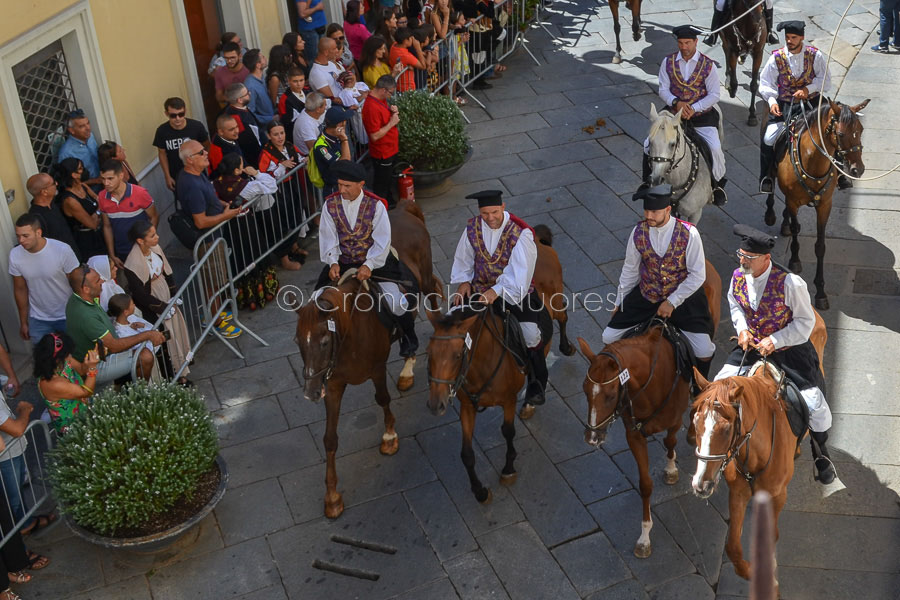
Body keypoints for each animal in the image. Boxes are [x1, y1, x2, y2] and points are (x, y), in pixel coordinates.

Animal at [294, 199, 438, 516]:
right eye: (298, 341)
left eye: (324, 341)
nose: (310, 392)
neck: (349, 334)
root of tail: (403, 209)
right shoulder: (333, 384)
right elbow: (330, 438)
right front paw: (332, 496)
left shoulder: (376, 368)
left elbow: (382, 399)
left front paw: (389, 438)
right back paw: (408, 369)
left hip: (423, 277)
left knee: (432, 298)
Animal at [426, 224, 568, 502]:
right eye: (429, 353)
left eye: (457, 355)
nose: (436, 405)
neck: (478, 368)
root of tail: (537, 240)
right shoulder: (467, 406)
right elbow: (466, 453)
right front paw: (479, 491)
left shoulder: (507, 400)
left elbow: (507, 431)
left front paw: (508, 468)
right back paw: (531, 399)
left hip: (555, 302)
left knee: (562, 318)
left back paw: (566, 349)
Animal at [576, 260, 724, 560]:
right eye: (585, 390)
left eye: (610, 395)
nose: (593, 437)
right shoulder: (634, 435)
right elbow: (645, 485)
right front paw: (644, 537)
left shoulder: (672, 421)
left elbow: (670, 441)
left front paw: (670, 469)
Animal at [688, 310, 828, 592]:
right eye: (696, 422)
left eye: (726, 428)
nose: (701, 484)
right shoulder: (738, 492)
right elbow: (732, 546)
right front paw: (751, 572)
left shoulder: (777, 495)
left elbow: (771, 537)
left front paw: (769, 577)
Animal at [764, 98, 868, 310]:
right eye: (841, 134)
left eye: (860, 130)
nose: (858, 169)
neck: (813, 162)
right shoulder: (794, 202)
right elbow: (796, 229)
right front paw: (795, 260)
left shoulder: (824, 206)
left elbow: (820, 246)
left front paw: (820, 292)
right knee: (770, 180)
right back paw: (770, 213)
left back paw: (784, 223)